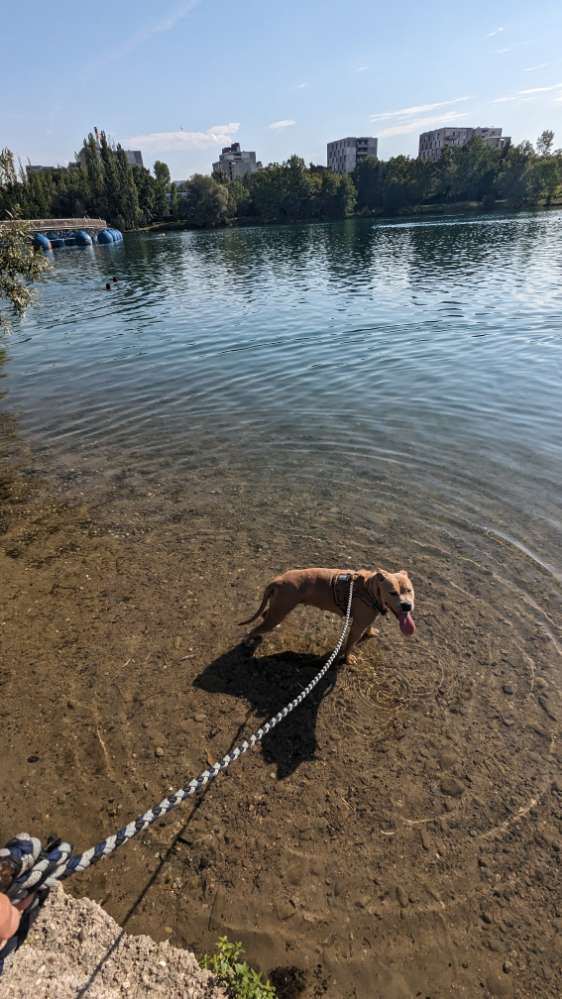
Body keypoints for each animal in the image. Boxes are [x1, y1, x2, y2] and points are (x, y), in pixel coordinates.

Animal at [238, 568, 414, 660]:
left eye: (409, 590)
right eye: (392, 593)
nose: (406, 606)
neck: (369, 589)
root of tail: (278, 580)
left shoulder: (369, 617)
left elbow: (370, 626)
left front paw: (371, 633)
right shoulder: (357, 627)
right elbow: (350, 645)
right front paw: (348, 659)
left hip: (278, 608)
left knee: (265, 614)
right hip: (281, 608)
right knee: (254, 629)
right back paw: (247, 640)